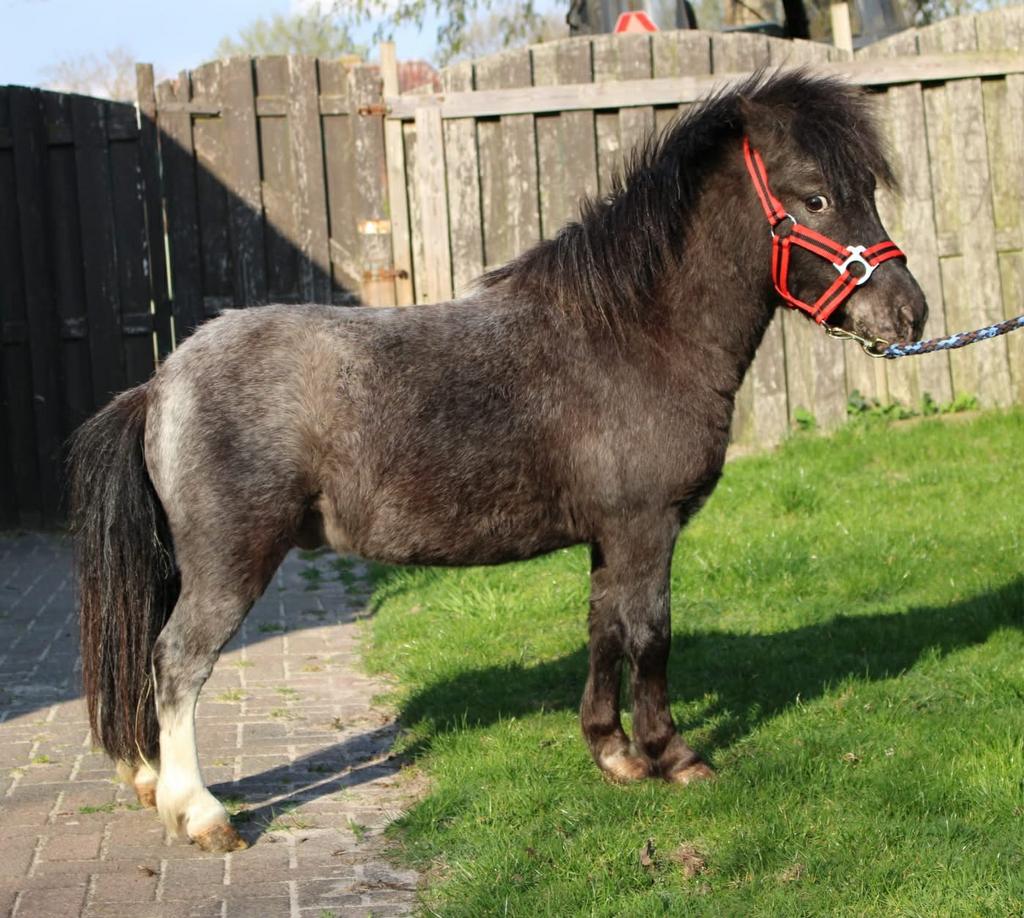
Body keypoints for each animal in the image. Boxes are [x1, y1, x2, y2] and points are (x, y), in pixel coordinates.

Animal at [69, 69, 928, 853]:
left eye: (865, 190)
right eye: (815, 199)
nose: (910, 312)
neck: (633, 335)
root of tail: (159, 382)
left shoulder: (610, 538)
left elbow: (603, 629)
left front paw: (613, 752)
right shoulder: (647, 530)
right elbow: (651, 634)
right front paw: (672, 755)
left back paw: (152, 781)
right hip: (229, 565)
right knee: (178, 662)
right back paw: (199, 813)